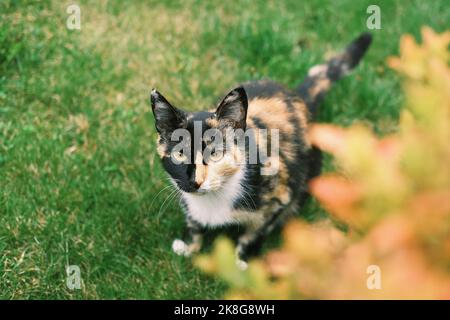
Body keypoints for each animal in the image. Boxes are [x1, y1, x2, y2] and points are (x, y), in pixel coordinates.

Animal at [149, 32, 370, 268]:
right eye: (179, 154)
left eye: (215, 153)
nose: (194, 181)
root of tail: (298, 96)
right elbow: (194, 224)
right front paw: (189, 247)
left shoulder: (280, 197)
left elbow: (253, 235)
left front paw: (242, 264)